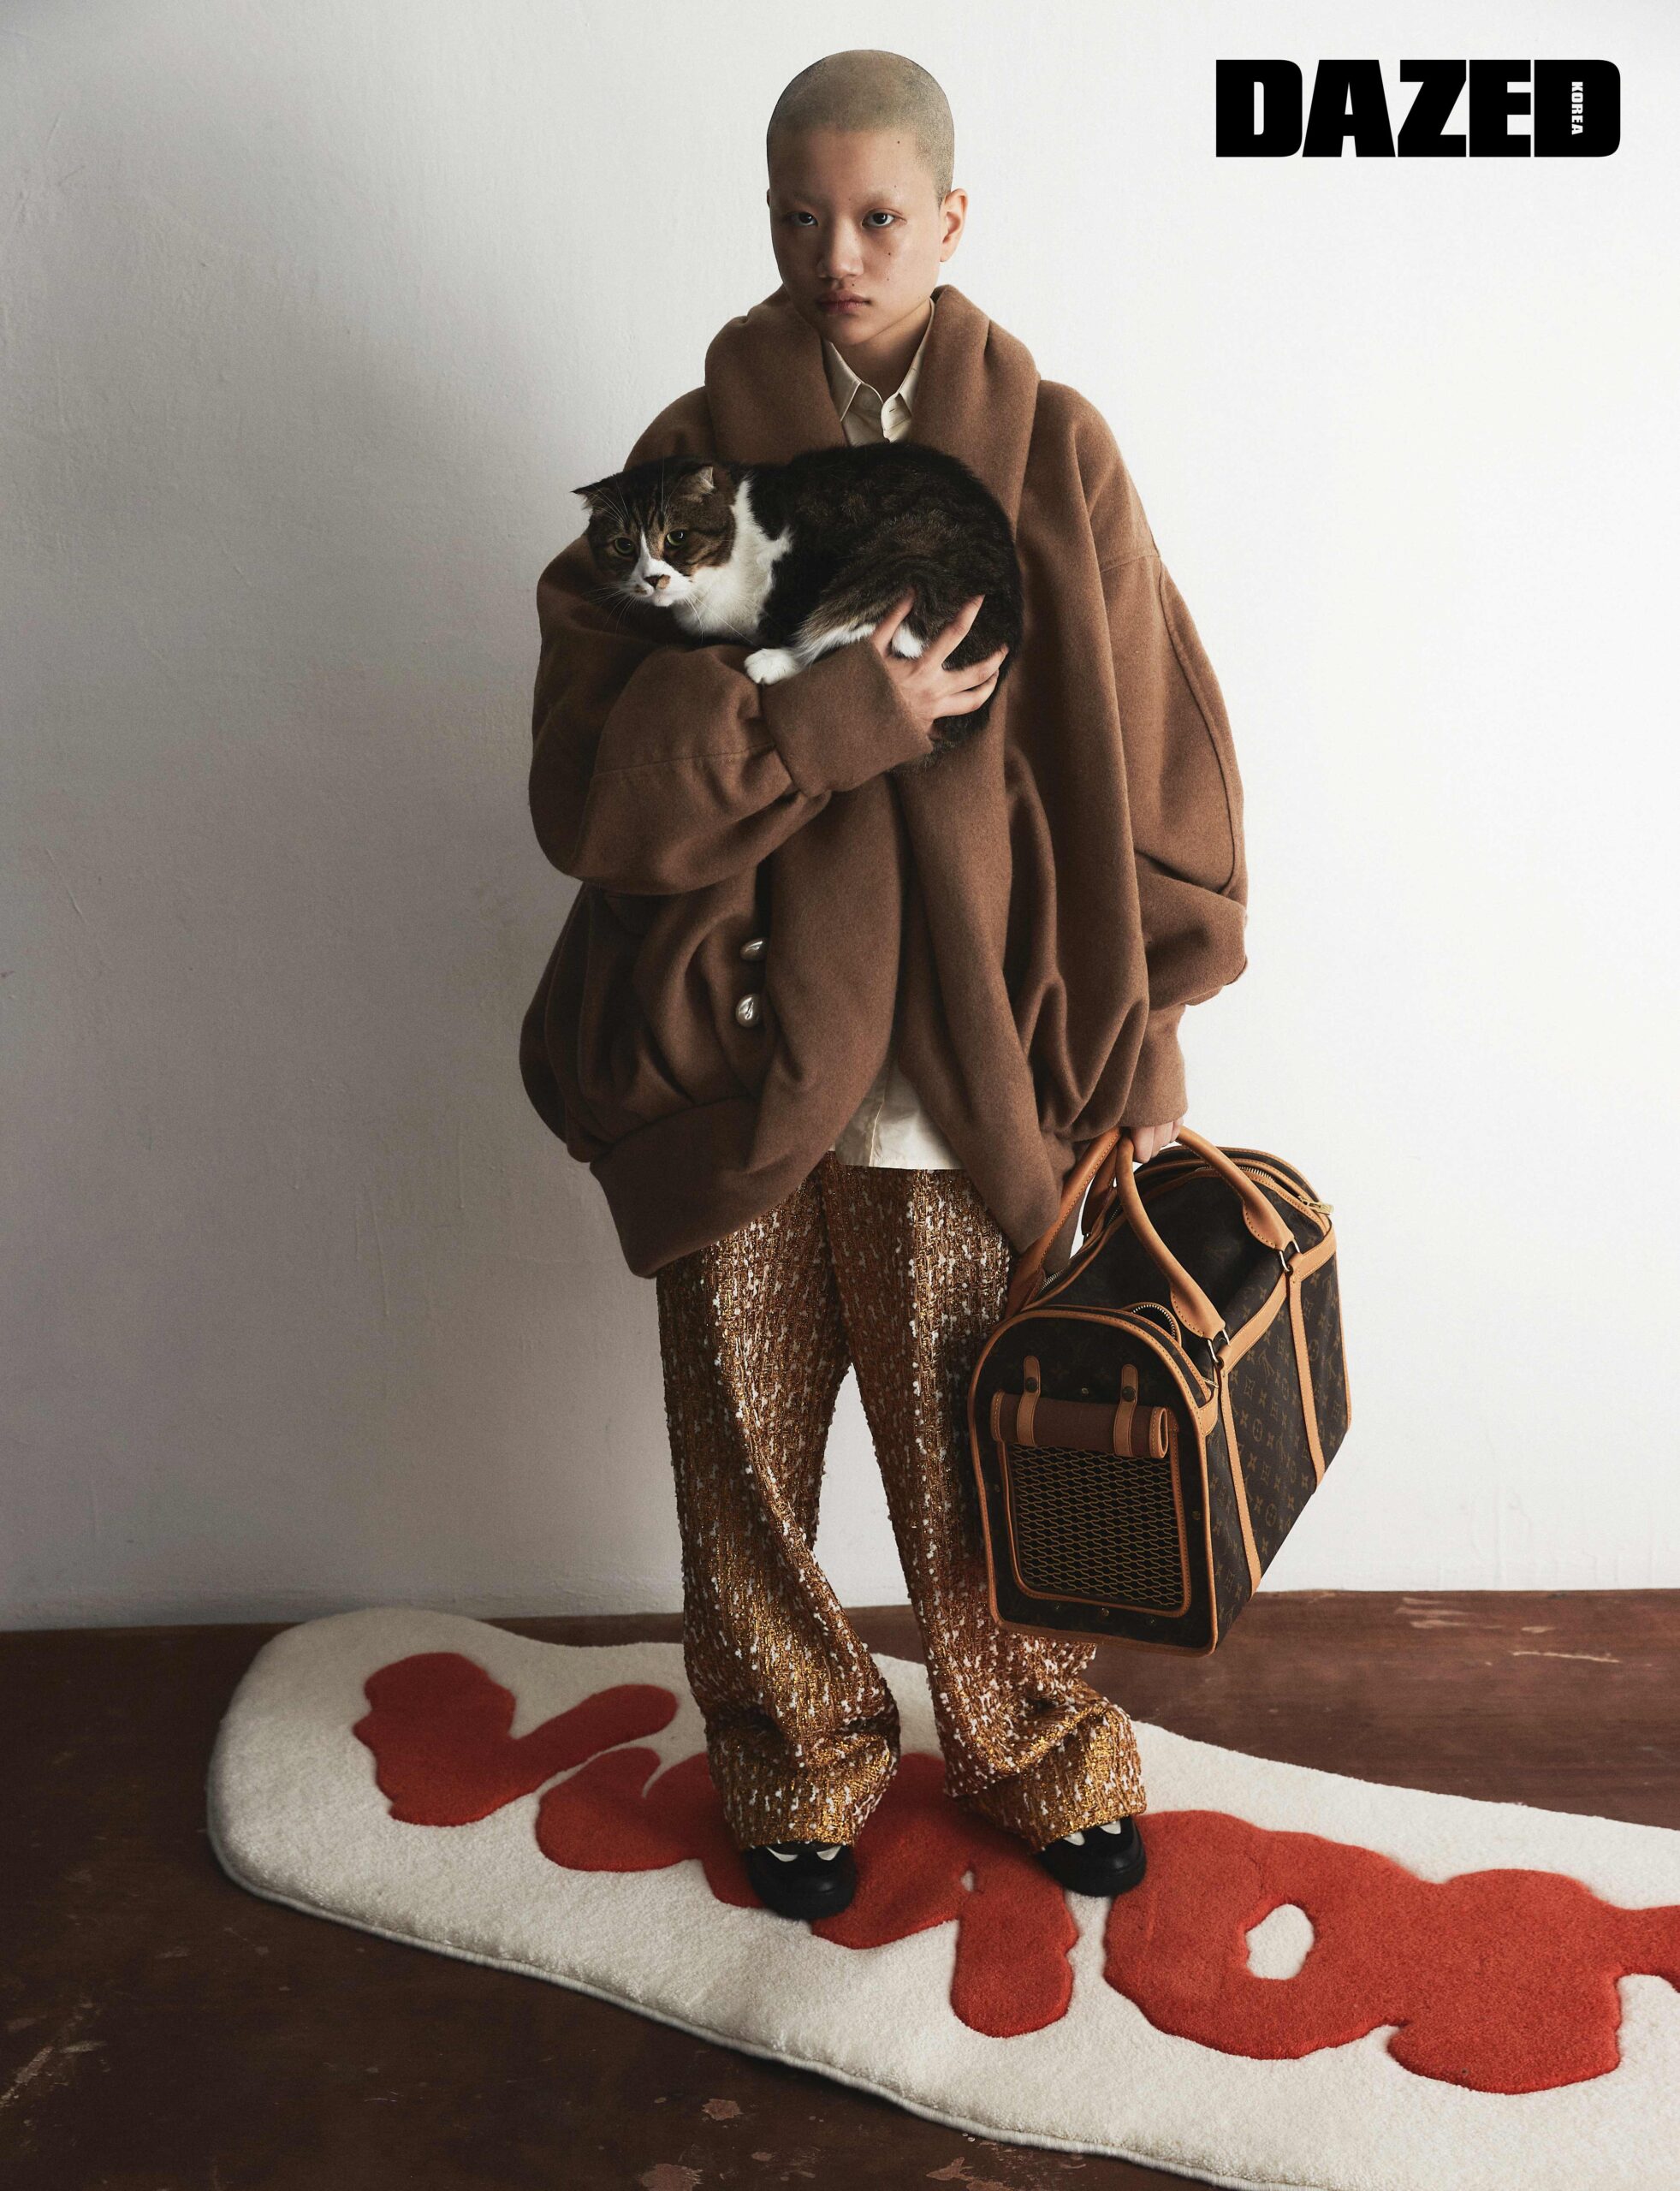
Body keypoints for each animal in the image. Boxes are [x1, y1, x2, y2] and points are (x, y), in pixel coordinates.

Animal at [574, 442, 1025, 760]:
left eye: (676, 537)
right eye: (623, 546)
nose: (653, 579)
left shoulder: (808, 557)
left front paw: (774, 658)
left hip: (902, 560)